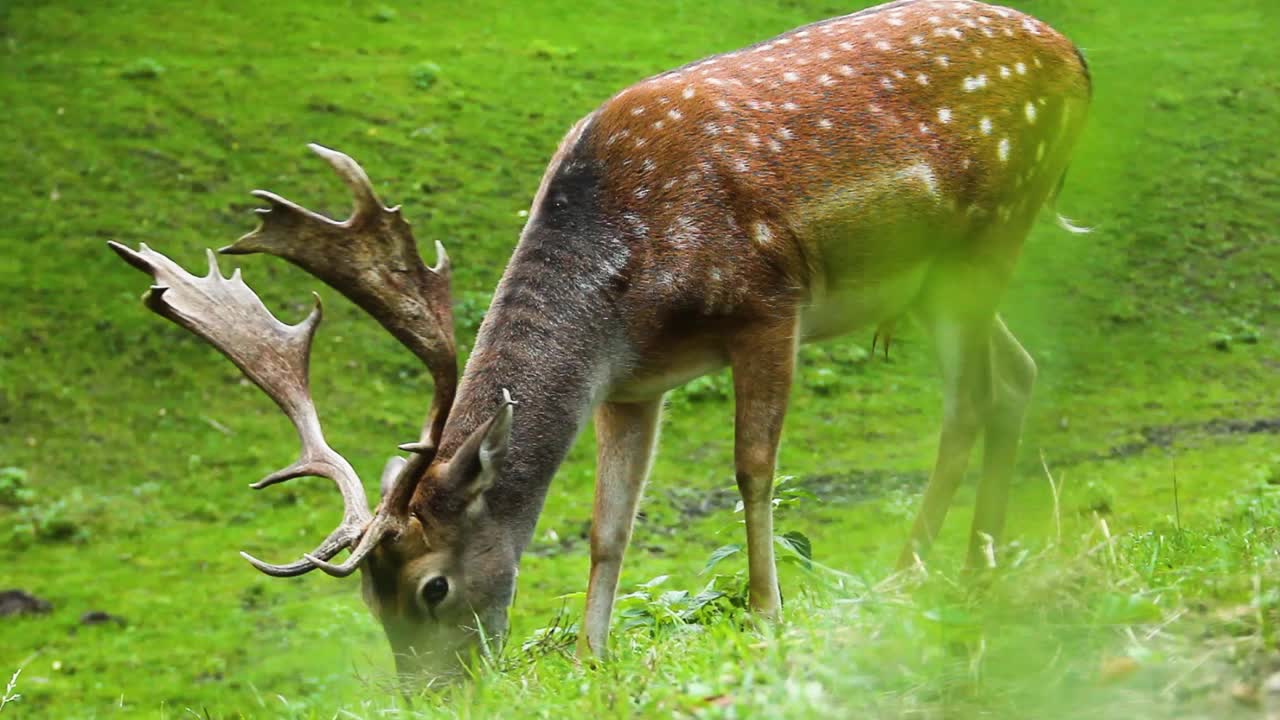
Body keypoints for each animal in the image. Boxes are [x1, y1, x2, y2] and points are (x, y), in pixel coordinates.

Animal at [112, 0, 1090, 681]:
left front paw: (766, 616)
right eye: (366, 597)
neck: (627, 284)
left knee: (974, 393)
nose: (433, 694)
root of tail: (1076, 58)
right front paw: (591, 656)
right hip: (937, 281)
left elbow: (755, 470)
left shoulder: (768, 306)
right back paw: (978, 561)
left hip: (991, 236)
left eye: (433, 587)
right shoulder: (633, 383)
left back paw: (920, 570)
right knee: (1016, 374)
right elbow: (607, 523)